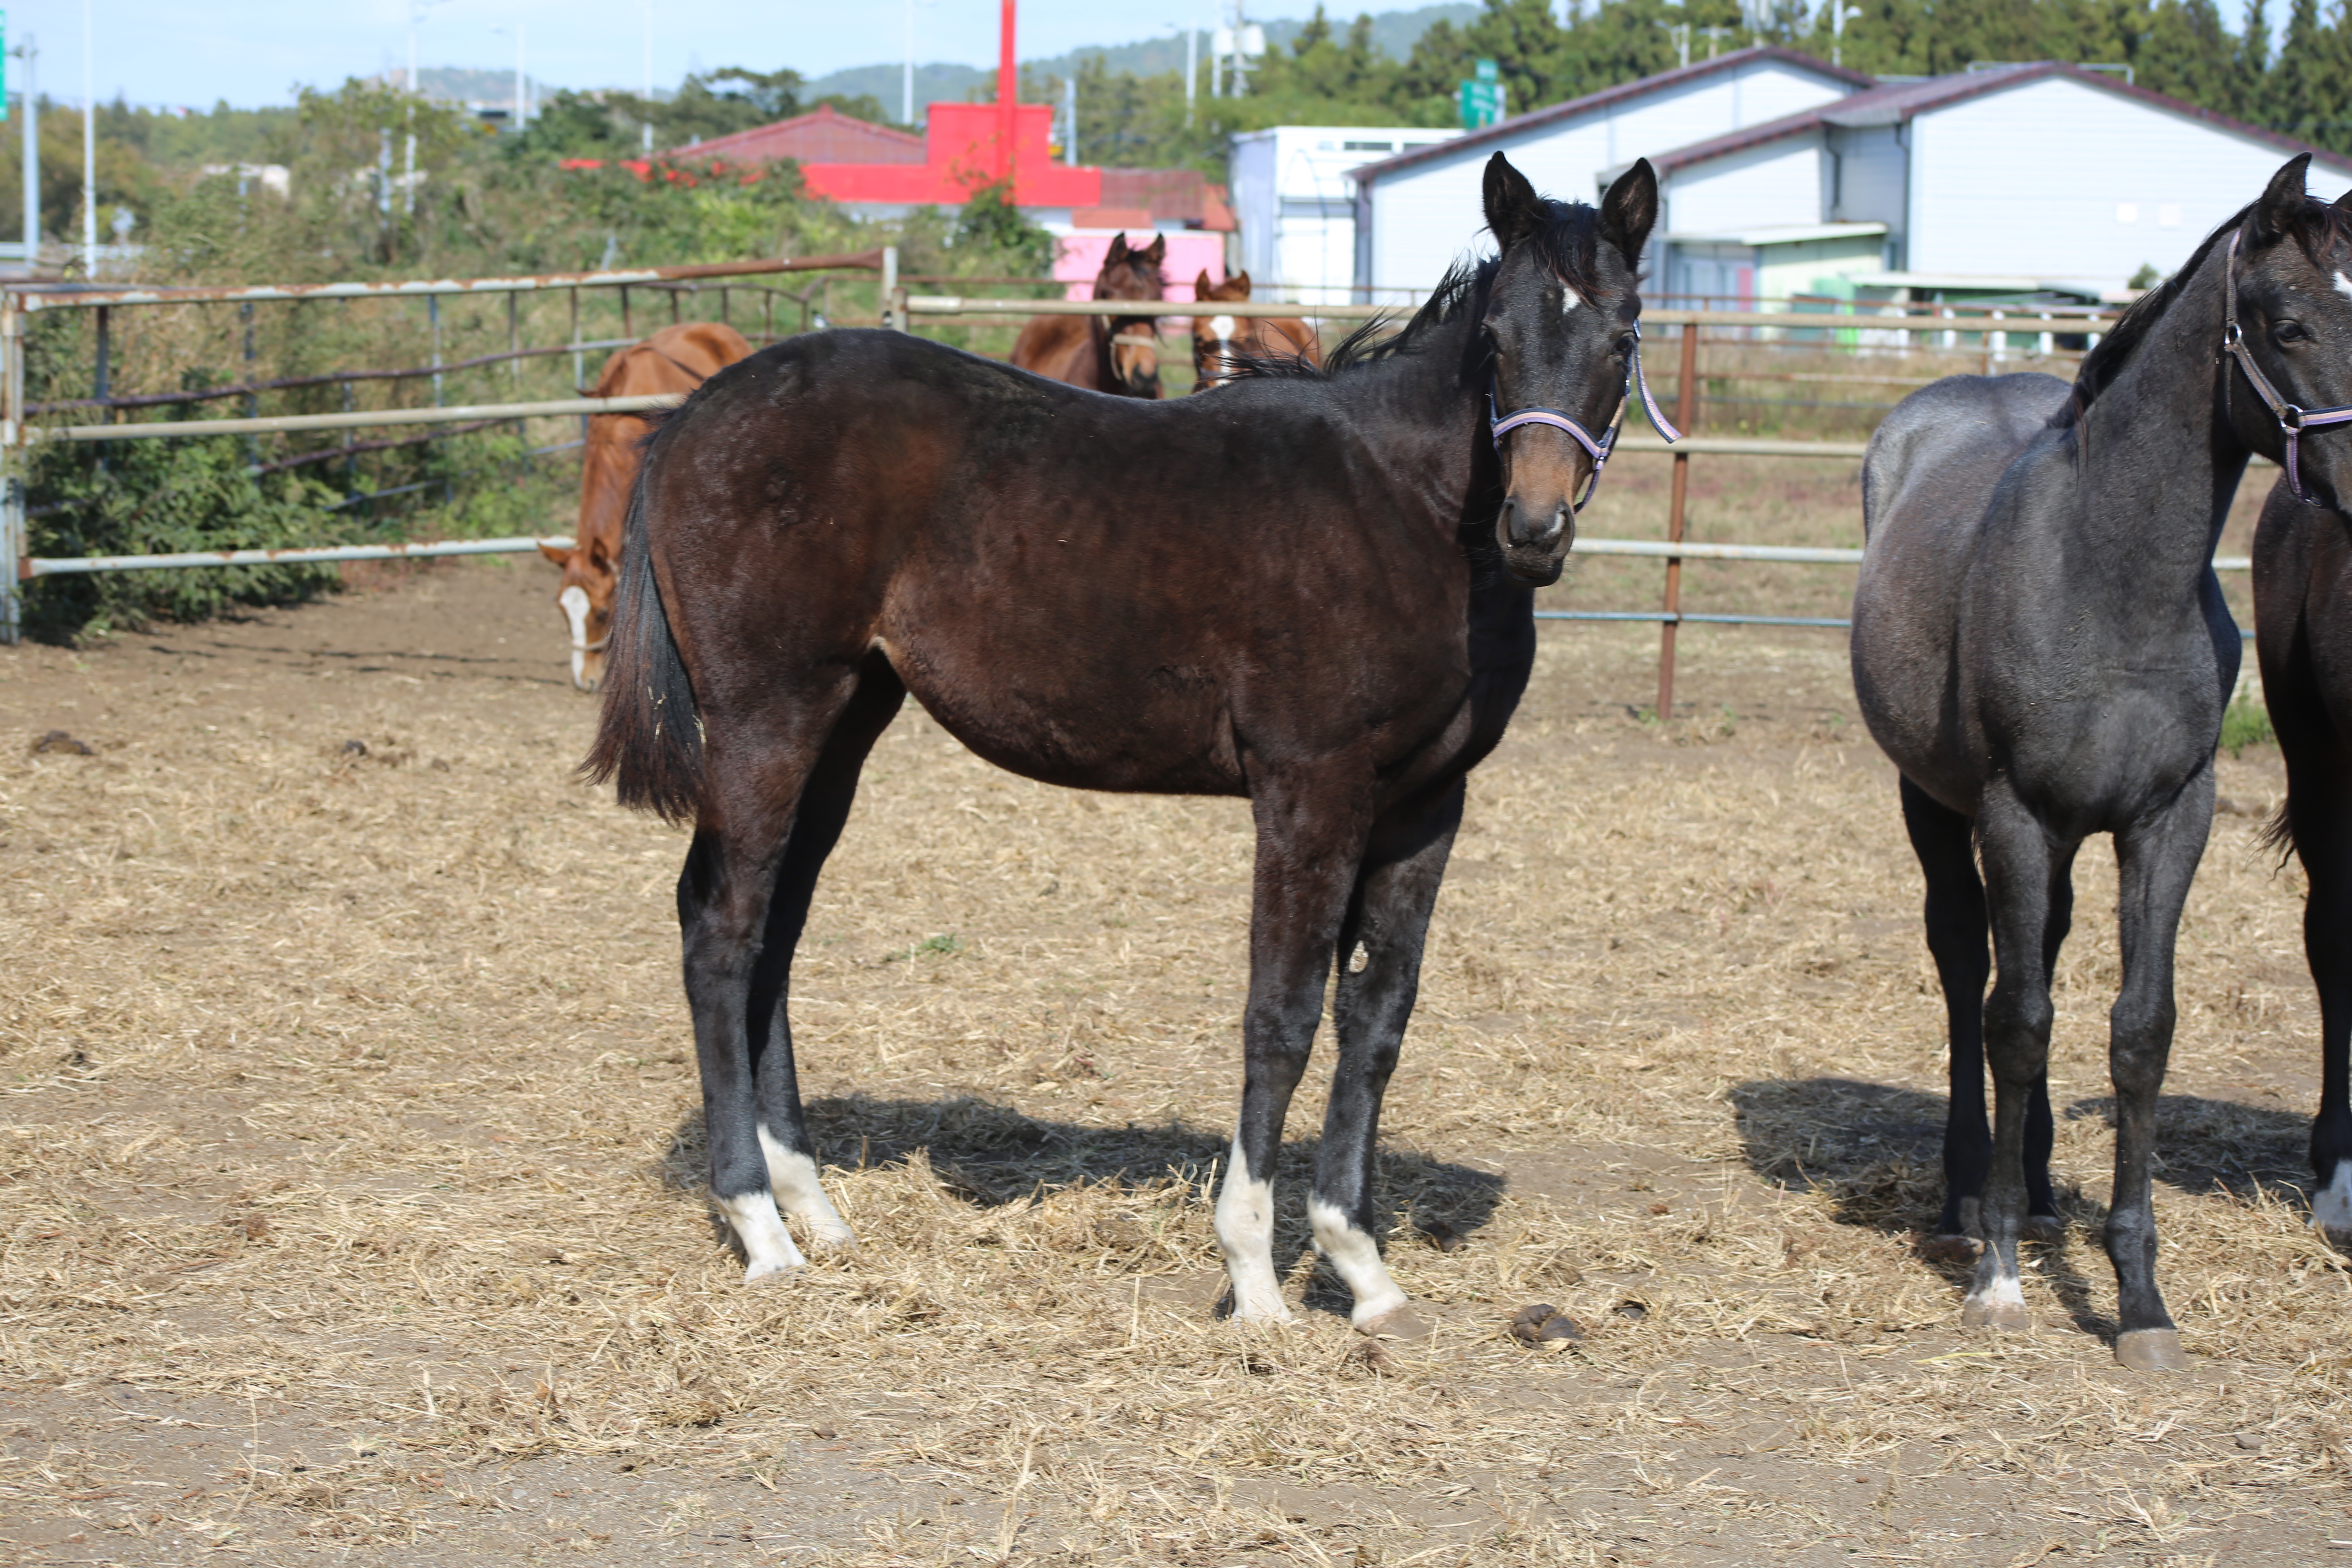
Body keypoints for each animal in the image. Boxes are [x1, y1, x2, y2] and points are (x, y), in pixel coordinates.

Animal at [1853, 153, 2352, 1363]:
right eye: (2286, 322)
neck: (2109, 578)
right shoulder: (2012, 815)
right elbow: (2016, 1021)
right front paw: (1995, 1277)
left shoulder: (2167, 819)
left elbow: (2139, 1032)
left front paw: (2137, 1298)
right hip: (1933, 802)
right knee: (1967, 969)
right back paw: (1966, 1202)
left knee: (2035, 960)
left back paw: (2032, 1192)